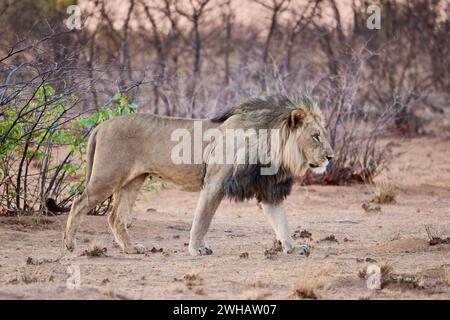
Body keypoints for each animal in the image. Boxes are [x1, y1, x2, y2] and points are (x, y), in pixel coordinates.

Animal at [47, 94, 332, 256]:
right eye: (316, 136)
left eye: (324, 135)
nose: (331, 157)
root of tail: (101, 125)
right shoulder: (214, 183)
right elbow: (202, 220)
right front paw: (196, 249)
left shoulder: (269, 191)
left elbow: (281, 223)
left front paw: (293, 248)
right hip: (106, 177)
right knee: (78, 203)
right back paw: (70, 245)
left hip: (133, 181)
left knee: (115, 217)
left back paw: (131, 249)